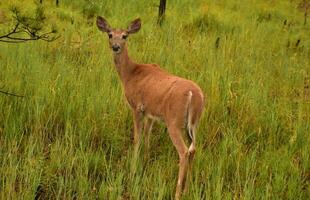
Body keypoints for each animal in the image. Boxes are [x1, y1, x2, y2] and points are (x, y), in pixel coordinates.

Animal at [95, 16, 205, 199]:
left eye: (125, 36)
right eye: (110, 34)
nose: (115, 46)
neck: (130, 74)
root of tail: (194, 94)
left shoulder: (136, 107)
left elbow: (137, 137)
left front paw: (133, 169)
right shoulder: (151, 112)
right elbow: (147, 134)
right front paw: (146, 160)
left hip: (173, 122)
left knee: (184, 152)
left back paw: (177, 193)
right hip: (194, 124)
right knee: (193, 150)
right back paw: (188, 188)